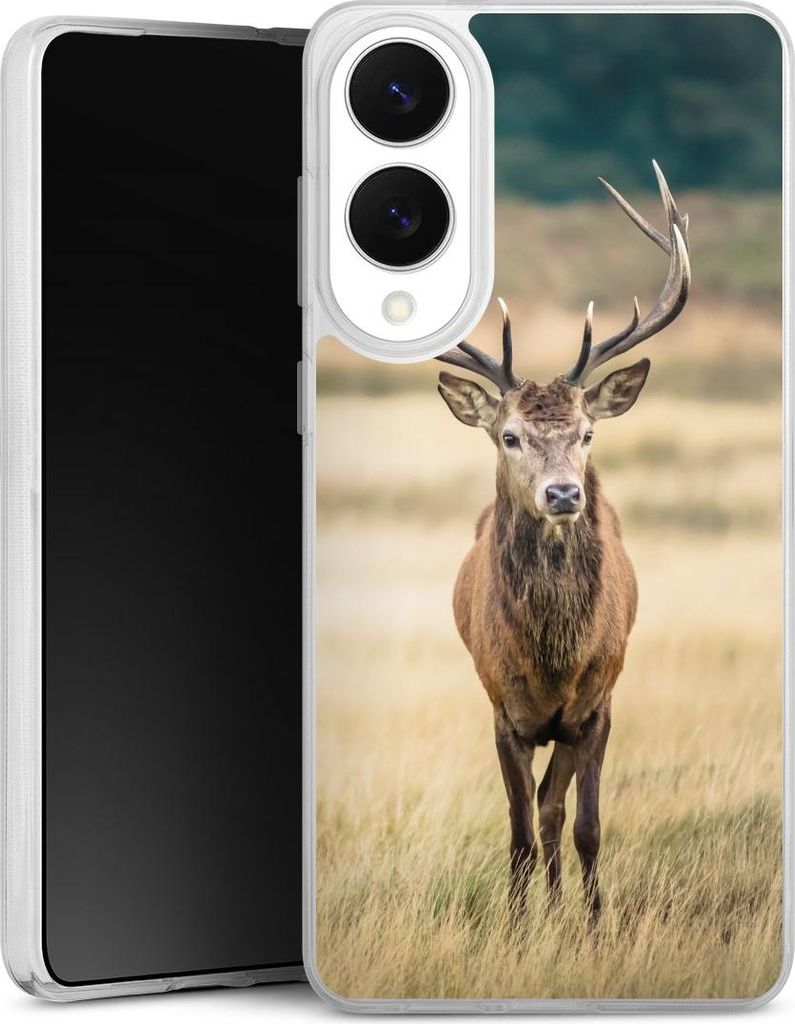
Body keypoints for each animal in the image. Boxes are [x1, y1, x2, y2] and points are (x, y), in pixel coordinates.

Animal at [436, 162, 690, 923]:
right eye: (509, 436)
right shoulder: (502, 709)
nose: (563, 494)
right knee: (537, 815)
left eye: (586, 433)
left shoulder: (598, 705)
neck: (552, 657)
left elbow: (585, 827)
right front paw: (520, 930)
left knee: (555, 811)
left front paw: (595, 926)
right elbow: (519, 831)